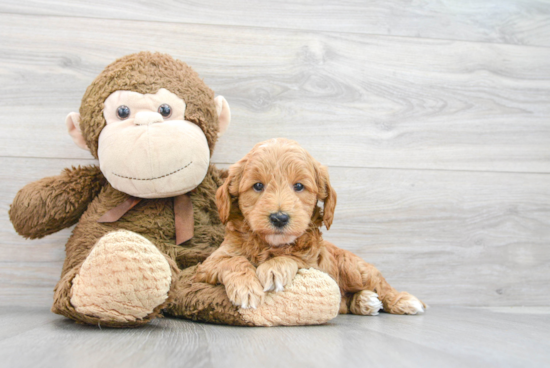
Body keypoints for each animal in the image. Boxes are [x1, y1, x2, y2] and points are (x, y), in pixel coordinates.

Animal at [196, 138, 430, 316]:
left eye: (299, 186)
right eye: (258, 186)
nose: (279, 218)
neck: (270, 245)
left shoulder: (316, 264)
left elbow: (296, 257)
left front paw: (274, 268)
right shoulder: (208, 265)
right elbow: (232, 261)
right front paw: (246, 287)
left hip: (355, 269)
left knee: (380, 284)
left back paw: (403, 300)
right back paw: (365, 302)